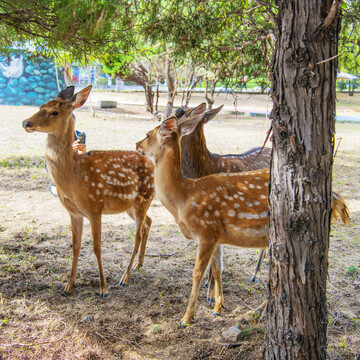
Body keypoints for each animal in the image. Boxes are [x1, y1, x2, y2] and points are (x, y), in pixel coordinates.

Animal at [22, 86, 155, 296]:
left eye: (54, 112)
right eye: (41, 105)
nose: (26, 122)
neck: (75, 176)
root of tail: (152, 163)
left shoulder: (95, 208)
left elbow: (97, 247)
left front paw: (103, 288)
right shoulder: (74, 212)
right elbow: (75, 247)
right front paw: (69, 285)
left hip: (144, 198)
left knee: (137, 235)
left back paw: (124, 277)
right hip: (130, 205)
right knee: (148, 223)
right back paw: (137, 265)